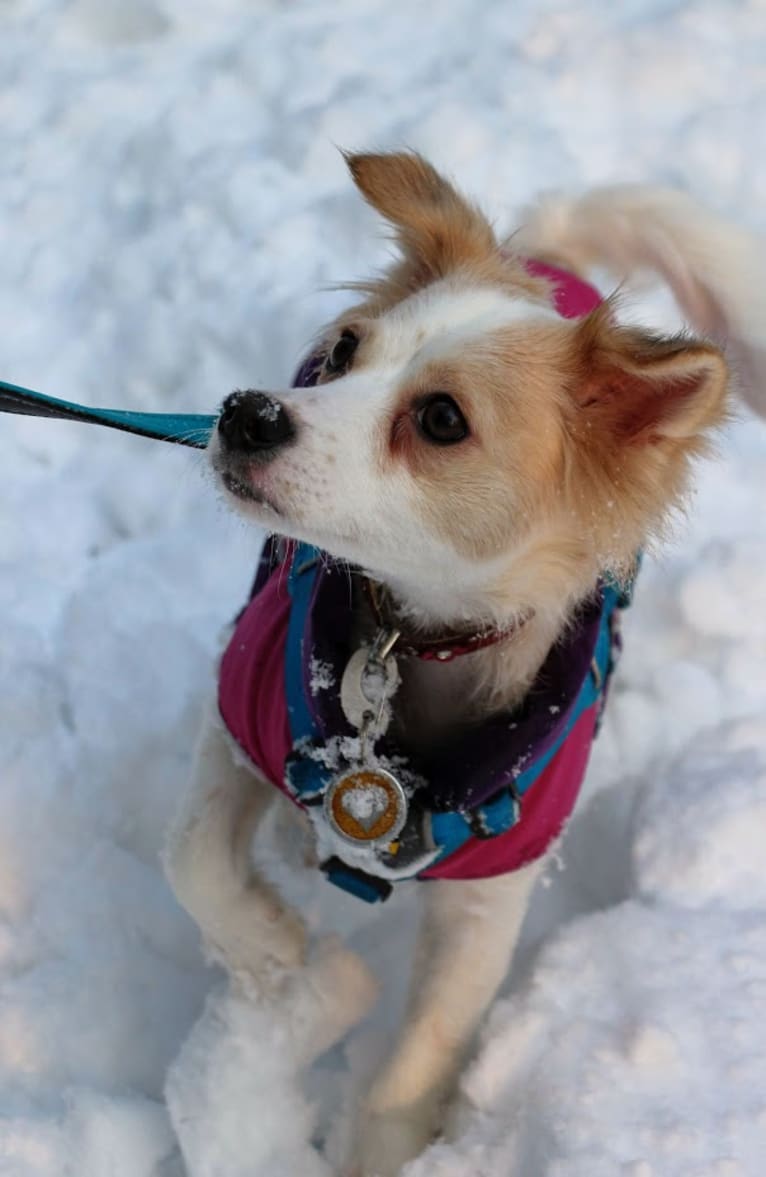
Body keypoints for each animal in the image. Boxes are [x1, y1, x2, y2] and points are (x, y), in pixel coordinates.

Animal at [163, 151, 766, 1172]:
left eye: (442, 418)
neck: (413, 644)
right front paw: (284, 958)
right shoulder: (239, 708)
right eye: (343, 352)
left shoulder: (495, 891)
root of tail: (547, 257)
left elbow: (425, 1048)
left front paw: (385, 1143)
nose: (246, 413)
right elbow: (194, 854)